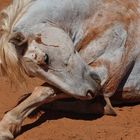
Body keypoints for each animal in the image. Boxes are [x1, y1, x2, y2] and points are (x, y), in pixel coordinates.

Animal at [0, 0, 140, 139]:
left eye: (45, 58)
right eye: (31, 75)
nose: (90, 91)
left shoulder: (108, 73)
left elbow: (43, 90)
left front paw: (6, 126)